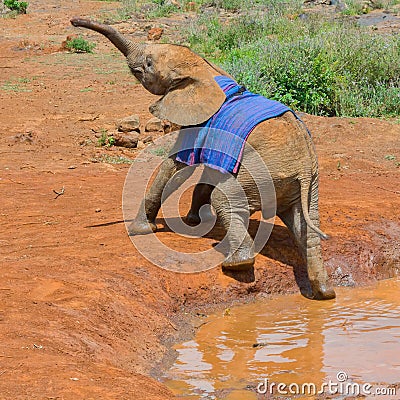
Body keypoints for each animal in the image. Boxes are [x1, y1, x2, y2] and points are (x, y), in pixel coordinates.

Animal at [71, 18, 334, 300]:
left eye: (150, 63)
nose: (74, 22)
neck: (204, 68)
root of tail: (304, 167)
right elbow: (205, 173)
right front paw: (192, 221)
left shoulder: (195, 121)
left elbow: (177, 165)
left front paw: (139, 230)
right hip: (305, 185)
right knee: (306, 227)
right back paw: (325, 293)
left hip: (263, 173)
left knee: (225, 200)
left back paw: (236, 264)